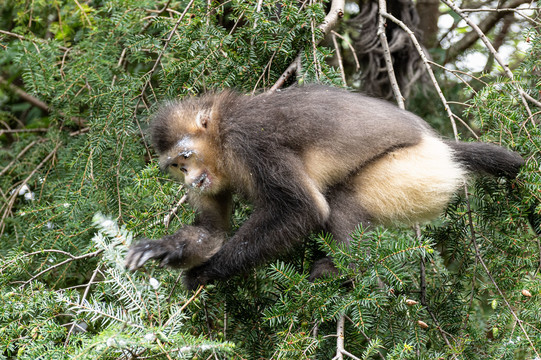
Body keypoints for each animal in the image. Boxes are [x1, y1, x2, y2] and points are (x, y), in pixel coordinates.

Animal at [125, 84, 524, 290]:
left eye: (186, 156)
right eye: (177, 166)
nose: (190, 179)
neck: (221, 136)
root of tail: (440, 146)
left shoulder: (250, 142)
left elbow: (305, 210)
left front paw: (207, 272)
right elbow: (212, 231)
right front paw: (163, 249)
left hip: (414, 169)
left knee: (342, 201)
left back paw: (348, 273)